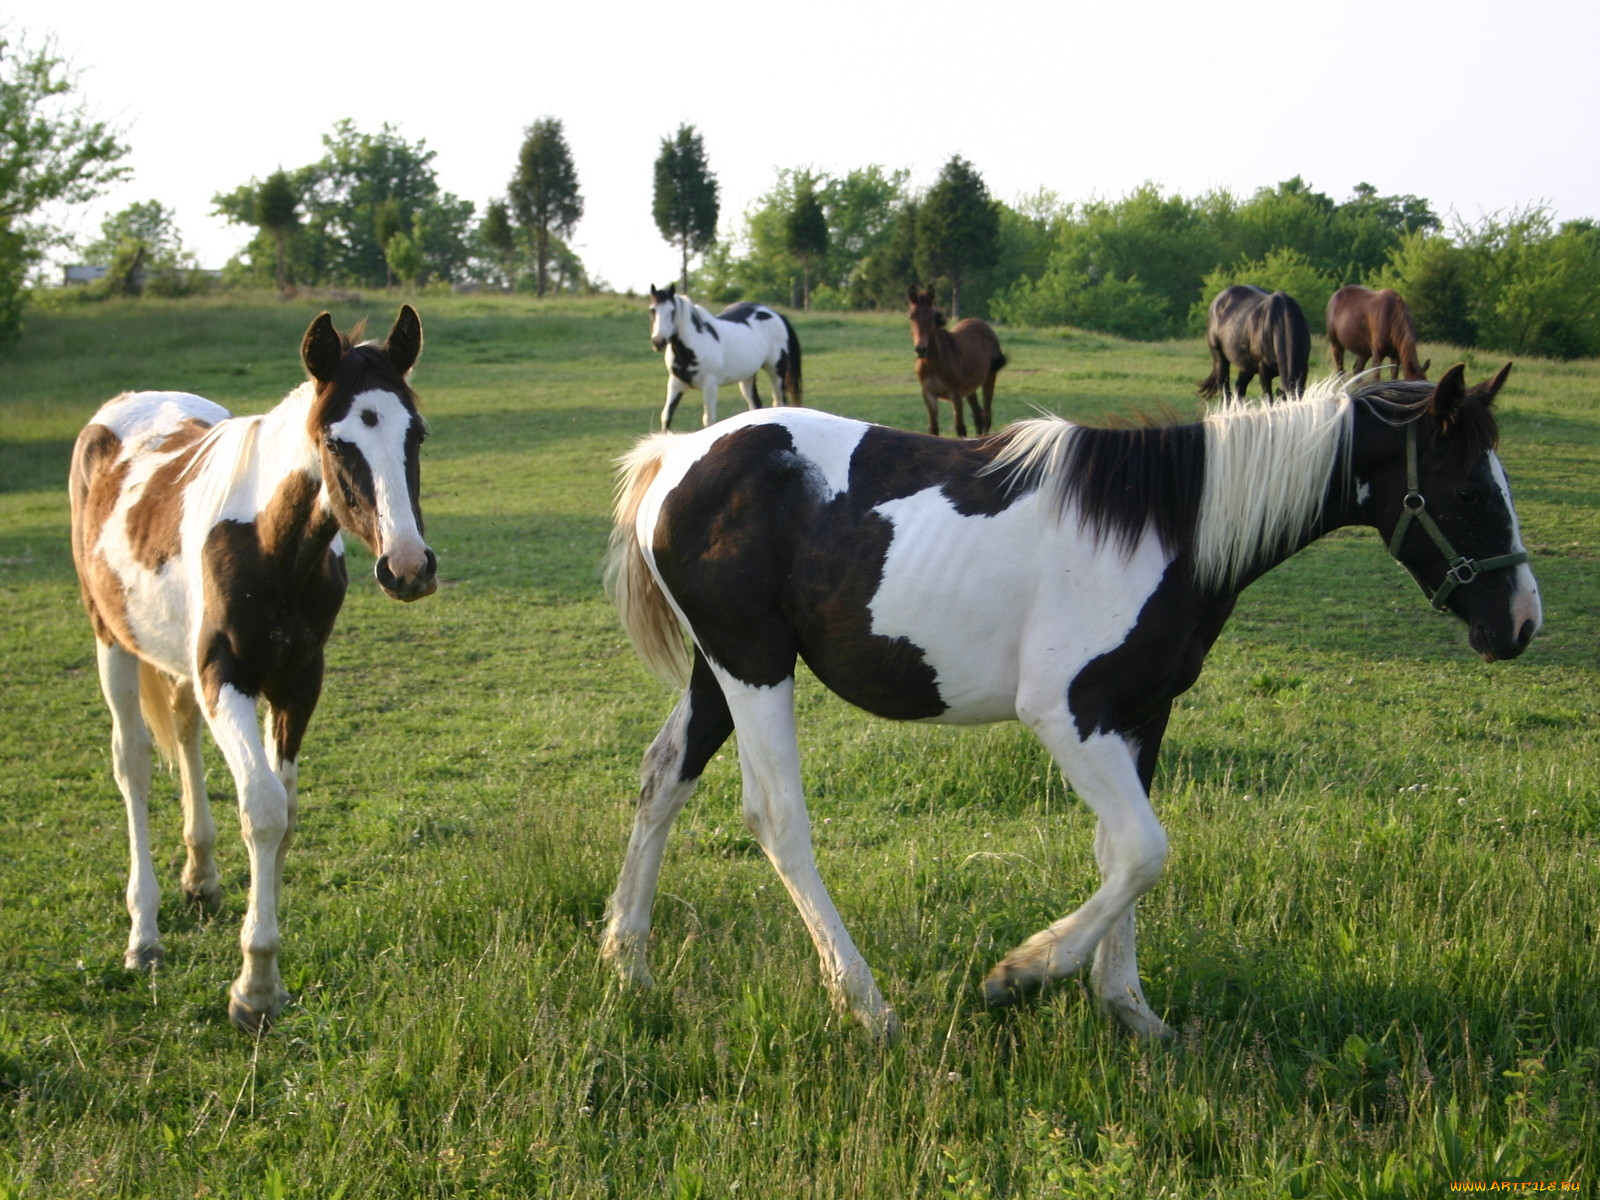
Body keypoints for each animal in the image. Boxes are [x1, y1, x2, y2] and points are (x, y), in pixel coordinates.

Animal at [68, 307, 435, 1036]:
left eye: (418, 433)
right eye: (336, 442)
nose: (408, 567)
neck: (270, 547)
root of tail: (123, 406)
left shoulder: (298, 682)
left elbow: (285, 812)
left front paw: (263, 966)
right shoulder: (227, 681)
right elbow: (261, 807)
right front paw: (255, 989)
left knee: (181, 732)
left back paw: (201, 877)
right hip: (112, 641)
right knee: (134, 764)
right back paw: (144, 934)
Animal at [601, 366, 1536, 1043]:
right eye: (1471, 493)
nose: (1520, 624)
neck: (1168, 529)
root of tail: (677, 457)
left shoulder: (1140, 717)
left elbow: (1122, 854)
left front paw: (1129, 1009)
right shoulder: (1070, 716)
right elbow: (1145, 850)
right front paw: (1023, 974)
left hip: (719, 673)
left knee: (662, 781)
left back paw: (627, 963)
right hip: (754, 666)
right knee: (777, 818)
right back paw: (867, 1006)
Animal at [646, 284, 800, 428]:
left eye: (672, 311)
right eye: (653, 310)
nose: (658, 342)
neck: (694, 343)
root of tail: (775, 314)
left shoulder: (709, 384)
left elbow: (708, 420)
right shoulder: (676, 383)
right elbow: (666, 416)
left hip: (776, 372)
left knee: (779, 401)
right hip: (747, 377)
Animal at [908, 284, 1004, 438]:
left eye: (931, 318)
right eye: (911, 317)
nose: (920, 349)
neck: (934, 363)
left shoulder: (955, 395)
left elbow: (960, 429)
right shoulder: (929, 394)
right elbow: (933, 429)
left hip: (989, 378)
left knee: (986, 415)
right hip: (971, 386)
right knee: (977, 414)